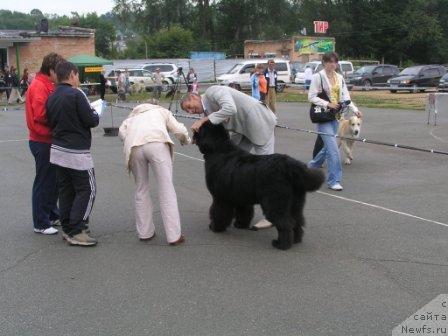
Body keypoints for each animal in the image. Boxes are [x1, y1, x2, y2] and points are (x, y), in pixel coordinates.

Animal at [194, 121, 324, 249]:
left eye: (200, 129)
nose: (194, 132)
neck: (219, 150)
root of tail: (290, 165)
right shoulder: (241, 196)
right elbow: (244, 212)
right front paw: (240, 224)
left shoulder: (221, 198)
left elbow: (218, 212)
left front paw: (215, 227)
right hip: (295, 203)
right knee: (297, 220)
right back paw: (296, 240)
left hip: (275, 202)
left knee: (286, 222)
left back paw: (281, 244)